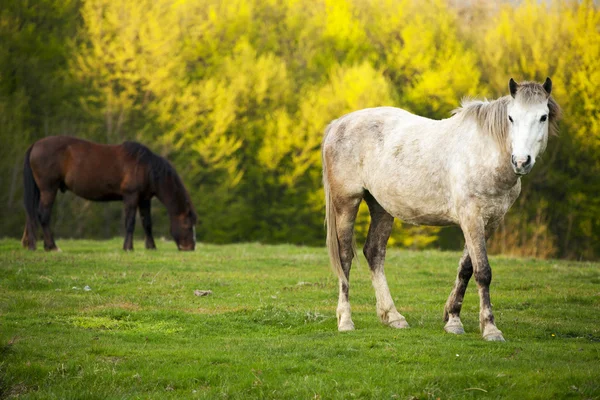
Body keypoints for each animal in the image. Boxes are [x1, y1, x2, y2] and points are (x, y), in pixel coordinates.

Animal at [21, 136, 197, 252]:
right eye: (188, 225)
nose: (190, 247)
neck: (147, 168)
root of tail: (35, 144)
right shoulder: (131, 197)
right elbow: (130, 222)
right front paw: (128, 247)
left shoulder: (144, 199)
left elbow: (147, 223)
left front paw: (151, 247)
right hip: (48, 189)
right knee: (43, 215)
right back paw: (52, 246)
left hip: (41, 191)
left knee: (31, 215)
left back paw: (33, 245)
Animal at [324, 78, 564, 340]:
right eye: (511, 117)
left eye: (543, 117)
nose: (521, 161)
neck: (483, 153)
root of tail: (339, 124)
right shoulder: (471, 218)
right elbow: (483, 272)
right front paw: (490, 328)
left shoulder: (490, 221)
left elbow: (466, 269)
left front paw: (453, 319)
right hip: (347, 202)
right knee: (345, 257)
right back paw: (346, 320)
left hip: (381, 206)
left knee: (374, 252)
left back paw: (393, 317)